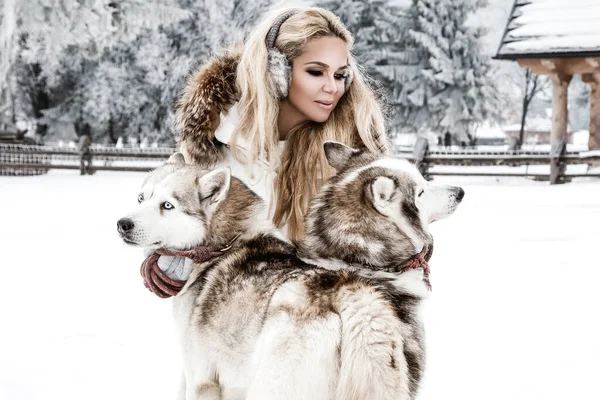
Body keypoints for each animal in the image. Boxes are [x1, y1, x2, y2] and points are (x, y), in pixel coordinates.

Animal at [117, 142, 464, 398]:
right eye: (141, 198)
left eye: (167, 205)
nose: (123, 223)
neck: (222, 245)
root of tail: (353, 294)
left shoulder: (200, 376)